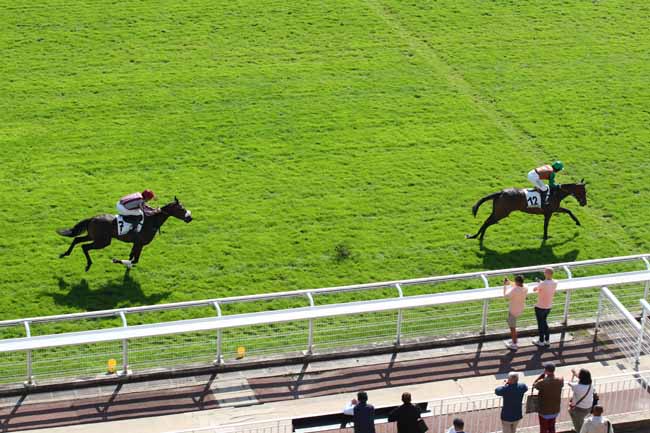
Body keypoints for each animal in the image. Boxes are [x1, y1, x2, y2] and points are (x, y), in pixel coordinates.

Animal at [57, 197, 192, 270]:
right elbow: (134, 260)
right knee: (84, 246)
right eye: (181, 209)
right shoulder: (140, 243)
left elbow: (132, 257)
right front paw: (116, 260)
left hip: (93, 236)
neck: (152, 221)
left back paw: (65, 253)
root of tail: (92, 218)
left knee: (77, 240)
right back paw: (88, 263)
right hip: (103, 241)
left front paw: (125, 264)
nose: (190, 218)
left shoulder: (136, 243)